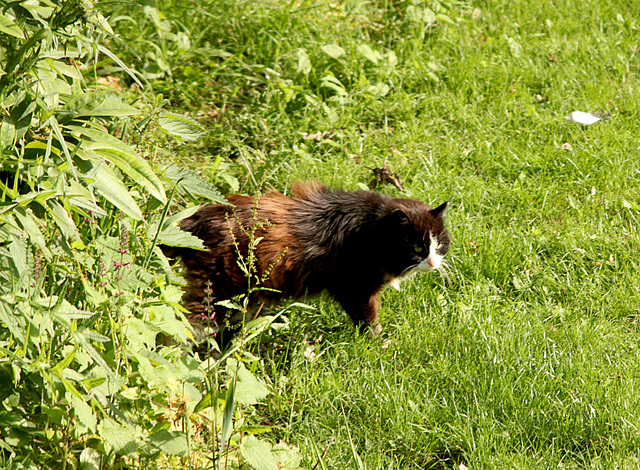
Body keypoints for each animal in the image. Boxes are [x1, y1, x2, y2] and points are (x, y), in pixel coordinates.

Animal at [161, 183, 450, 342]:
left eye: (439, 245)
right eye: (417, 247)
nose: (433, 263)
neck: (371, 229)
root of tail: (194, 221)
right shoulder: (355, 288)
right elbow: (368, 320)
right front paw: (378, 345)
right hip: (218, 293)